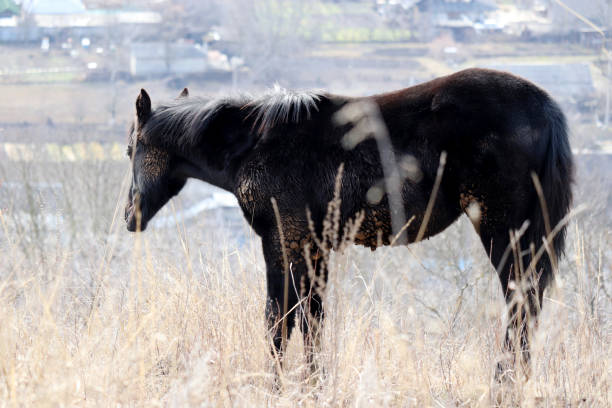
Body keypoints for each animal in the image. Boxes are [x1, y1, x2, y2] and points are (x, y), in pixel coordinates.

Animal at [124, 68, 572, 374]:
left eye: (131, 148)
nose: (130, 217)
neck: (255, 143)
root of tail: (545, 107)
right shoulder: (313, 249)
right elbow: (311, 320)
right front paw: (312, 383)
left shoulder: (282, 243)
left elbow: (279, 319)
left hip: (504, 232)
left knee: (520, 304)